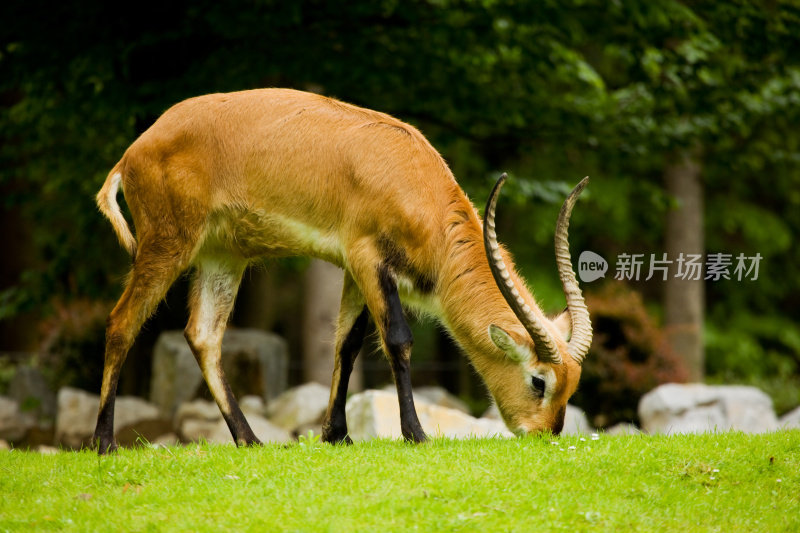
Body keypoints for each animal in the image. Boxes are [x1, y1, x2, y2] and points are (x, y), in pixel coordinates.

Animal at [94, 88, 592, 454]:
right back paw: (104, 443)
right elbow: (397, 340)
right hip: (166, 245)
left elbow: (347, 344)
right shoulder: (369, 259)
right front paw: (415, 434)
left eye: (571, 386)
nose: (544, 433)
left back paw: (250, 440)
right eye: (539, 380)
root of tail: (133, 152)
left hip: (222, 258)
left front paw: (337, 434)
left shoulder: (357, 271)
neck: (413, 175)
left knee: (203, 335)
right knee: (122, 322)